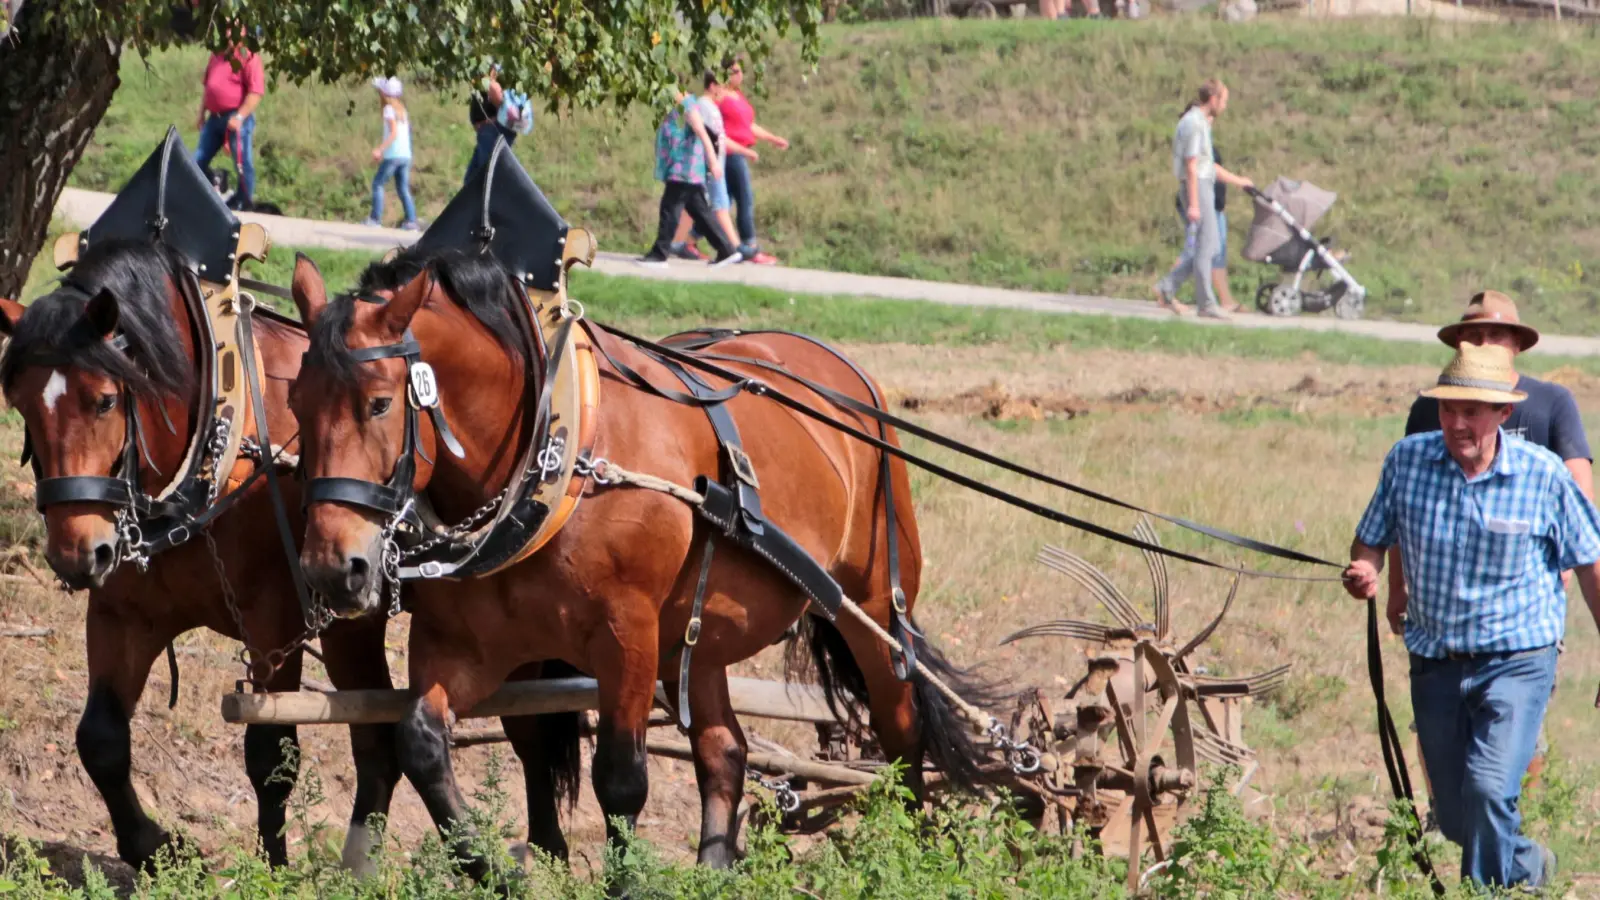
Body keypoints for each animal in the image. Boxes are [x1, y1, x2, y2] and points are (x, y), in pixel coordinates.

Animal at [284, 246, 994, 874]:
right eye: (295, 402)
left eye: (379, 402)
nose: (331, 567)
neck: (552, 458)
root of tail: (844, 375)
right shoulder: (462, 645)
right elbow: (421, 741)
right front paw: (494, 868)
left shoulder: (627, 634)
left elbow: (620, 777)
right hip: (695, 638)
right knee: (724, 750)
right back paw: (712, 870)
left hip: (871, 603)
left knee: (901, 732)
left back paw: (908, 850)